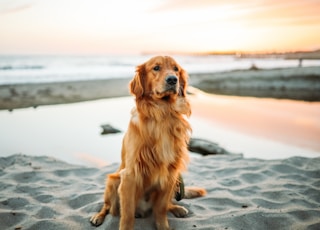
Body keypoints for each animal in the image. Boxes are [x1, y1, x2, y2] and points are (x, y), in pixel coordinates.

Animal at [90, 56, 206, 230]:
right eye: (156, 68)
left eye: (176, 69)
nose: (173, 79)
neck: (163, 113)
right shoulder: (129, 175)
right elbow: (127, 215)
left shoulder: (170, 173)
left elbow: (161, 209)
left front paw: (164, 226)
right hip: (113, 181)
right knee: (107, 207)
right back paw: (98, 217)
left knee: (166, 204)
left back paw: (177, 208)